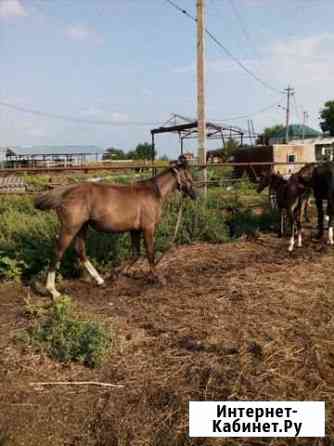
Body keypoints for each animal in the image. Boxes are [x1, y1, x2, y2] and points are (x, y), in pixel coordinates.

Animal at [34, 157, 196, 300]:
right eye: (188, 176)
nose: (195, 195)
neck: (154, 192)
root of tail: (65, 192)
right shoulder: (148, 228)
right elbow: (150, 253)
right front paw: (158, 278)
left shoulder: (135, 230)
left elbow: (135, 254)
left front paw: (116, 274)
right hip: (70, 228)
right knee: (58, 252)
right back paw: (53, 291)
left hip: (82, 227)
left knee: (80, 251)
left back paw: (100, 280)